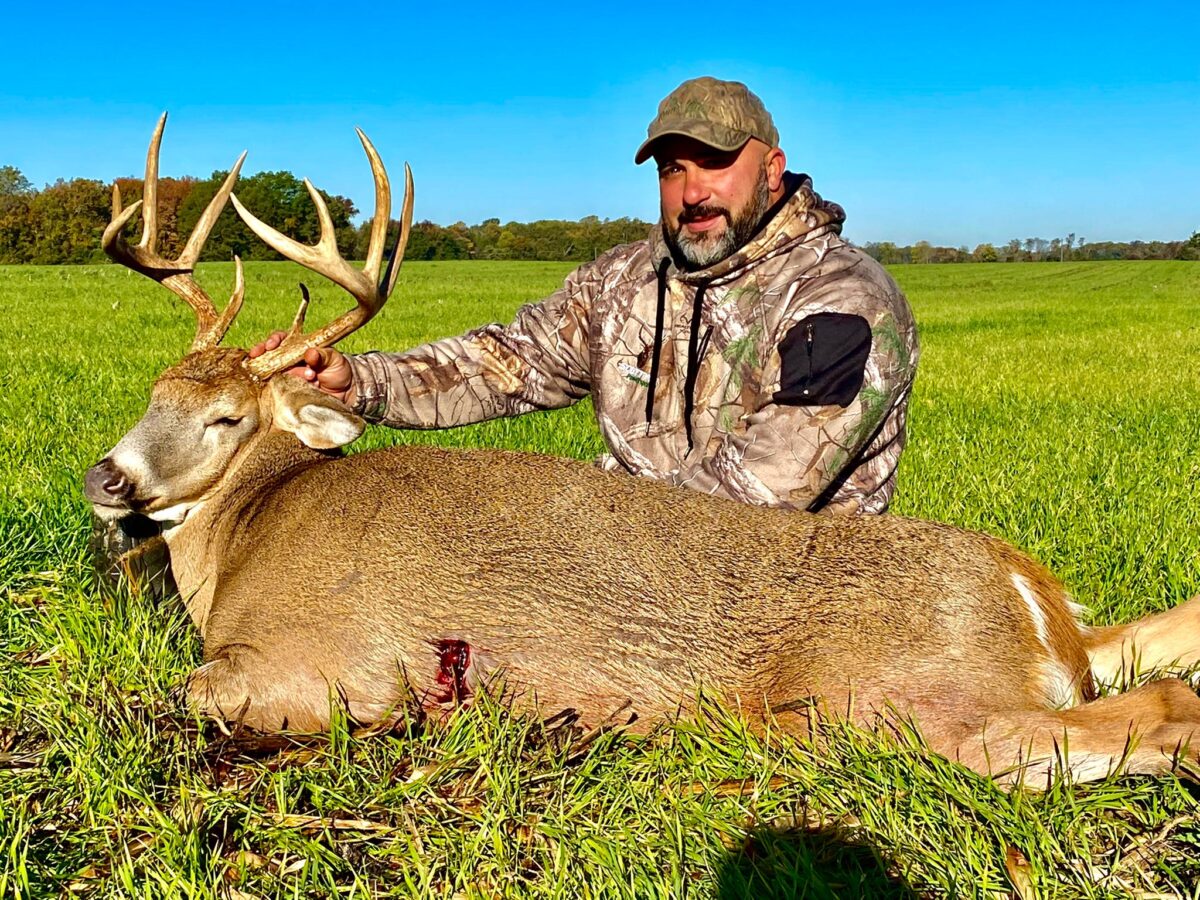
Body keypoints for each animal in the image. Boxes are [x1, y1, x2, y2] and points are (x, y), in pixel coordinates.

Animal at [85, 115, 1200, 789]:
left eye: (228, 419)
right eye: (153, 393)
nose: (108, 476)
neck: (248, 538)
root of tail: (1036, 597)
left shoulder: (322, 668)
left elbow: (164, 698)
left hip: (906, 703)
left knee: (1145, 711)